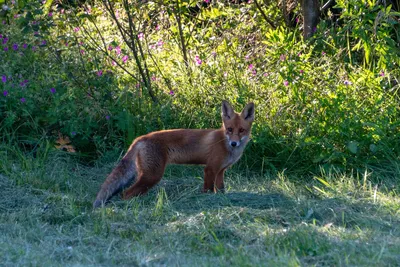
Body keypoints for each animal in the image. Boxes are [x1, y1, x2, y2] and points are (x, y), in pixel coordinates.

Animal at [93, 101, 255, 209]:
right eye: (229, 129)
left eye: (241, 130)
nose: (234, 143)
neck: (224, 143)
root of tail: (140, 138)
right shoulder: (210, 169)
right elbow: (208, 190)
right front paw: (206, 200)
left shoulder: (220, 171)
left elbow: (221, 189)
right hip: (152, 175)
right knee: (126, 194)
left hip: (146, 175)